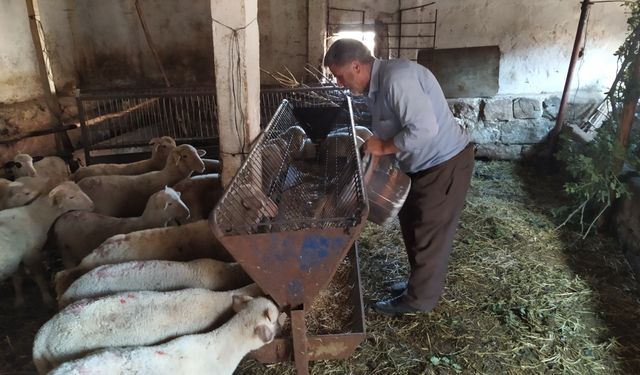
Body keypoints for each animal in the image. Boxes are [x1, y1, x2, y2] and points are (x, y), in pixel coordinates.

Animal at [54, 185, 190, 268]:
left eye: (179, 197)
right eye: (170, 204)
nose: (188, 213)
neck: (146, 222)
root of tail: (60, 220)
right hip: (66, 252)